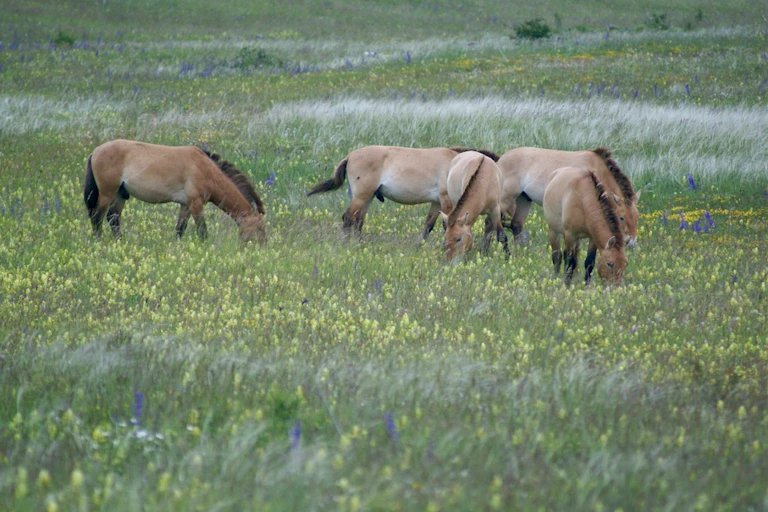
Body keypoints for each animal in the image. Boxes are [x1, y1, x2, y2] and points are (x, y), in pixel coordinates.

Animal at [83, 139, 266, 243]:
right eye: (259, 228)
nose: (262, 247)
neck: (206, 170)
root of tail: (95, 151)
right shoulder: (196, 204)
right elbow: (202, 231)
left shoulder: (186, 205)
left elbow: (180, 228)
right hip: (107, 193)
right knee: (97, 217)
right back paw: (99, 242)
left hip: (120, 195)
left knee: (113, 219)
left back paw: (120, 241)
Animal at [306, 145, 500, 239]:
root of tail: (350, 156)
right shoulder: (446, 201)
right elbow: (445, 225)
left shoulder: (436, 202)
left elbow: (427, 226)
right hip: (362, 196)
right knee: (348, 218)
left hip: (367, 197)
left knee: (358, 220)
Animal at [497, 147, 640, 250]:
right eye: (621, 217)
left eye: (636, 216)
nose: (631, 242)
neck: (596, 170)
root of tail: (499, 161)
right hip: (505, 199)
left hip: (524, 199)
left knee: (516, 225)